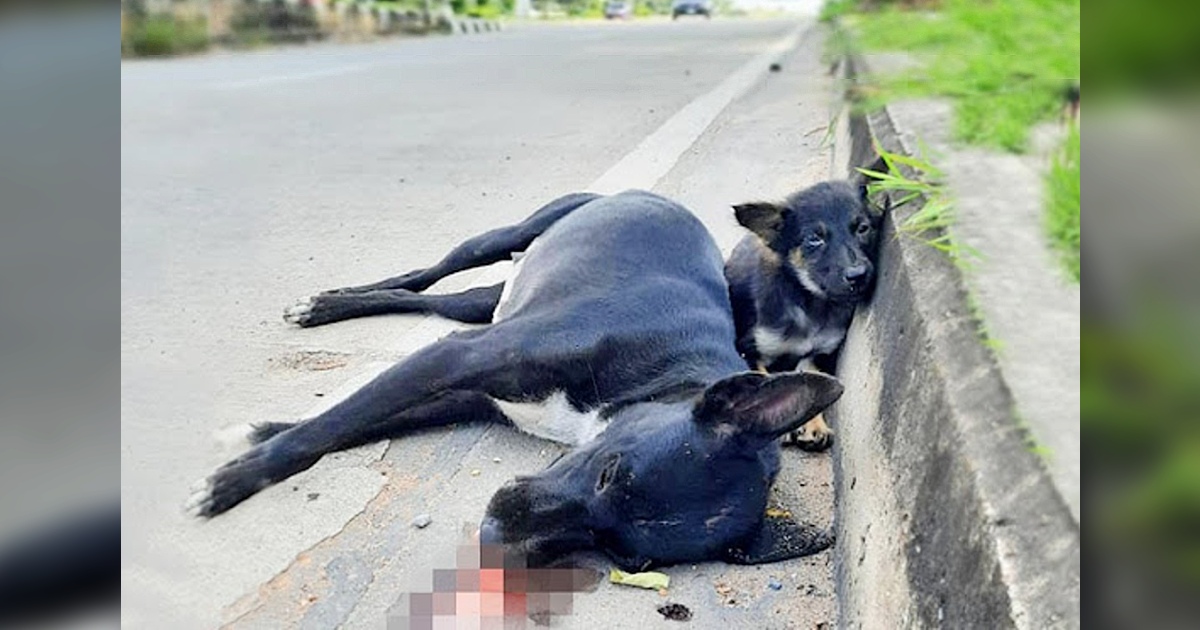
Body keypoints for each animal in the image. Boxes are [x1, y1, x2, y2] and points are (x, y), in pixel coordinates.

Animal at [187, 190, 844, 568]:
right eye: (610, 472)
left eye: (622, 556)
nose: (493, 535)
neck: (664, 372)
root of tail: (654, 195)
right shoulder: (460, 358)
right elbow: (336, 421)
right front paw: (235, 481)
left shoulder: (474, 393)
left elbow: (354, 421)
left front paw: (263, 432)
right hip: (501, 240)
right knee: (425, 274)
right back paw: (325, 305)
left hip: (487, 300)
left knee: (431, 299)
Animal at [720, 178, 883, 448]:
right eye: (814, 239)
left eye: (863, 228)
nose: (858, 275)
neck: (810, 303)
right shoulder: (749, 349)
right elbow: (764, 381)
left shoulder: (818, 353)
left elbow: (813, 383)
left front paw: (815, 426)